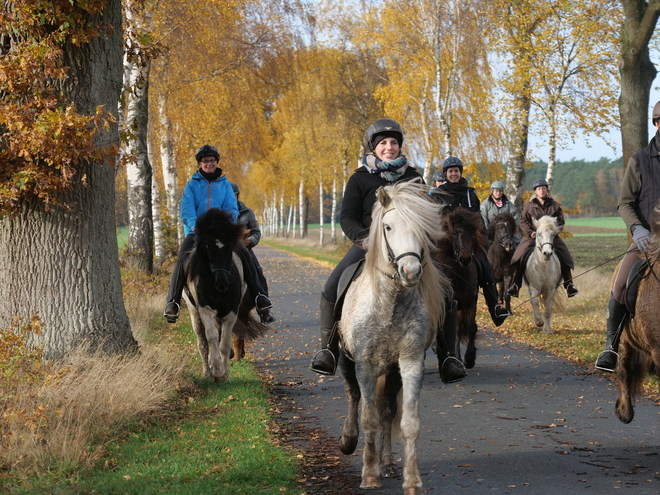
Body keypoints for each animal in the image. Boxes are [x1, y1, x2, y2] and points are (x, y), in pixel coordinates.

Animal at [182, 207, 266, 382]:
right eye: (208, 249)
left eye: (230, 249)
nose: (222, 281)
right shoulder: (205, 309)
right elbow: (212, 337)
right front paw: (217, 370)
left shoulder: (234, 311)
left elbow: (227, 341)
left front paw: (226, 372)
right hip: (194, 312)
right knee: (202, 341)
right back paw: (207, 371)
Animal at [436, 209, 488, 368]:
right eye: (454, 233)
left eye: (473, 233)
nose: (465, 259)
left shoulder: (470, 300)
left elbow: (470, 327)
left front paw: (470, 358)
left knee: (458, 328)